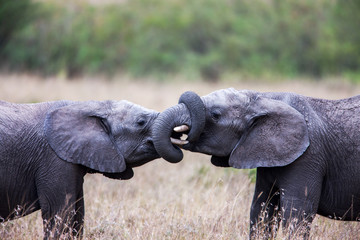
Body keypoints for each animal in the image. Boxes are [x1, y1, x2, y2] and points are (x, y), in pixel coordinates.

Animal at [153, 88, 360, 238]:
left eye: (215, 115)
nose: (179, 136)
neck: (264, 98)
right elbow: (260, 210)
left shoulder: (308, 156)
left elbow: (297, 215)